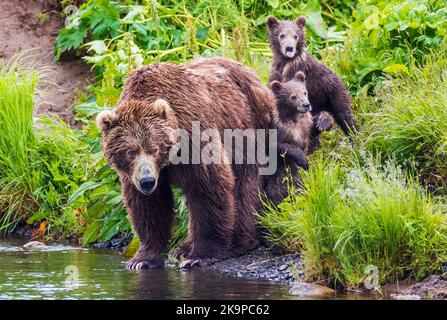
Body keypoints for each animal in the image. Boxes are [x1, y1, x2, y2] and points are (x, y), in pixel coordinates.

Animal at [96, 58, 278, 270]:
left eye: (153, 148)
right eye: (130, 151)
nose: (147, 181)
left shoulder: (195, 137)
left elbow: (209, 187)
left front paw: (199, 256)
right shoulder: (134, 174)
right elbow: (148, 204)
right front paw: (142, 259)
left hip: (247, 128)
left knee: (245, 186)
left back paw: (238, 243)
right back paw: (183, 247)